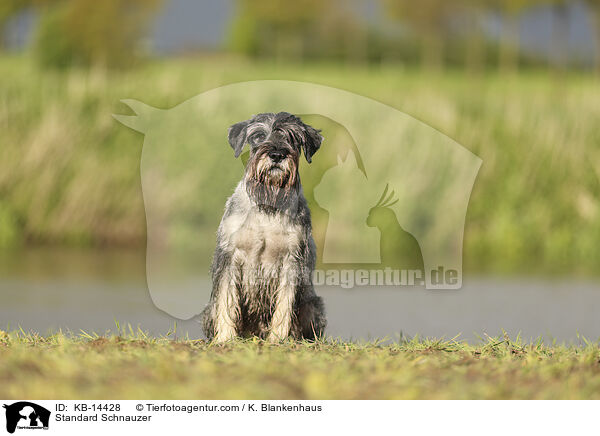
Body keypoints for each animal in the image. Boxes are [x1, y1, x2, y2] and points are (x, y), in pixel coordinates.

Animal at [202, 110, 326, 342]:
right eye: (258, 135)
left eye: (293, 137)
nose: (277, 154)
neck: (267, 206)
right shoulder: (229, 255)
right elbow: (225, 300)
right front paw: (225, 337)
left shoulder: (292, 260)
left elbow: (284, 304)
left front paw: (277, 338)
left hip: (313, 306)